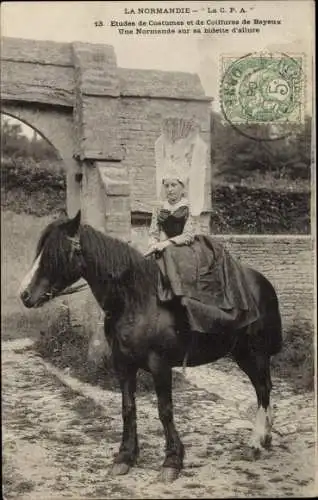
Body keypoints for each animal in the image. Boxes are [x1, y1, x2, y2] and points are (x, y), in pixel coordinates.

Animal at [19, 210, 284, 480]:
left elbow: (164, 410)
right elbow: (128, 407)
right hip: (242, 354)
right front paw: (125, 456)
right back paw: (266, 437)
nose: (24, 294)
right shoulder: (122, 364)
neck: (136, 299)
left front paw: (172, 460)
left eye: (55, 253)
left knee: (263, 390)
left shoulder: (160, 365)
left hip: (255, 353)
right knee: (262, 389)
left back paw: (255, 443)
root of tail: (261, 282)